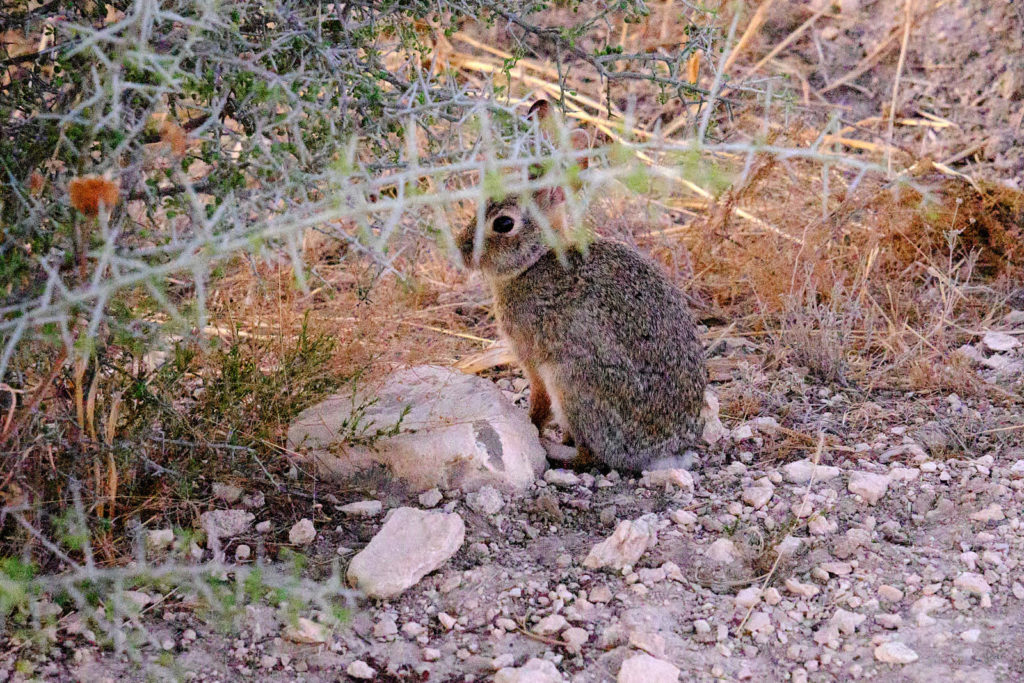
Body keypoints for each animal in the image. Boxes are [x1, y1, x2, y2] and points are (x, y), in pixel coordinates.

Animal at [460, 141, 708, 473]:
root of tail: (661, 452)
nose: (461, 249)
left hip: (573, 383)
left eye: (503, 223)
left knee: (588, 456)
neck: (535, 261)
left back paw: (555, 451)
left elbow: (539, 404)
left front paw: (530, 427)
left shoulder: (534, 362)